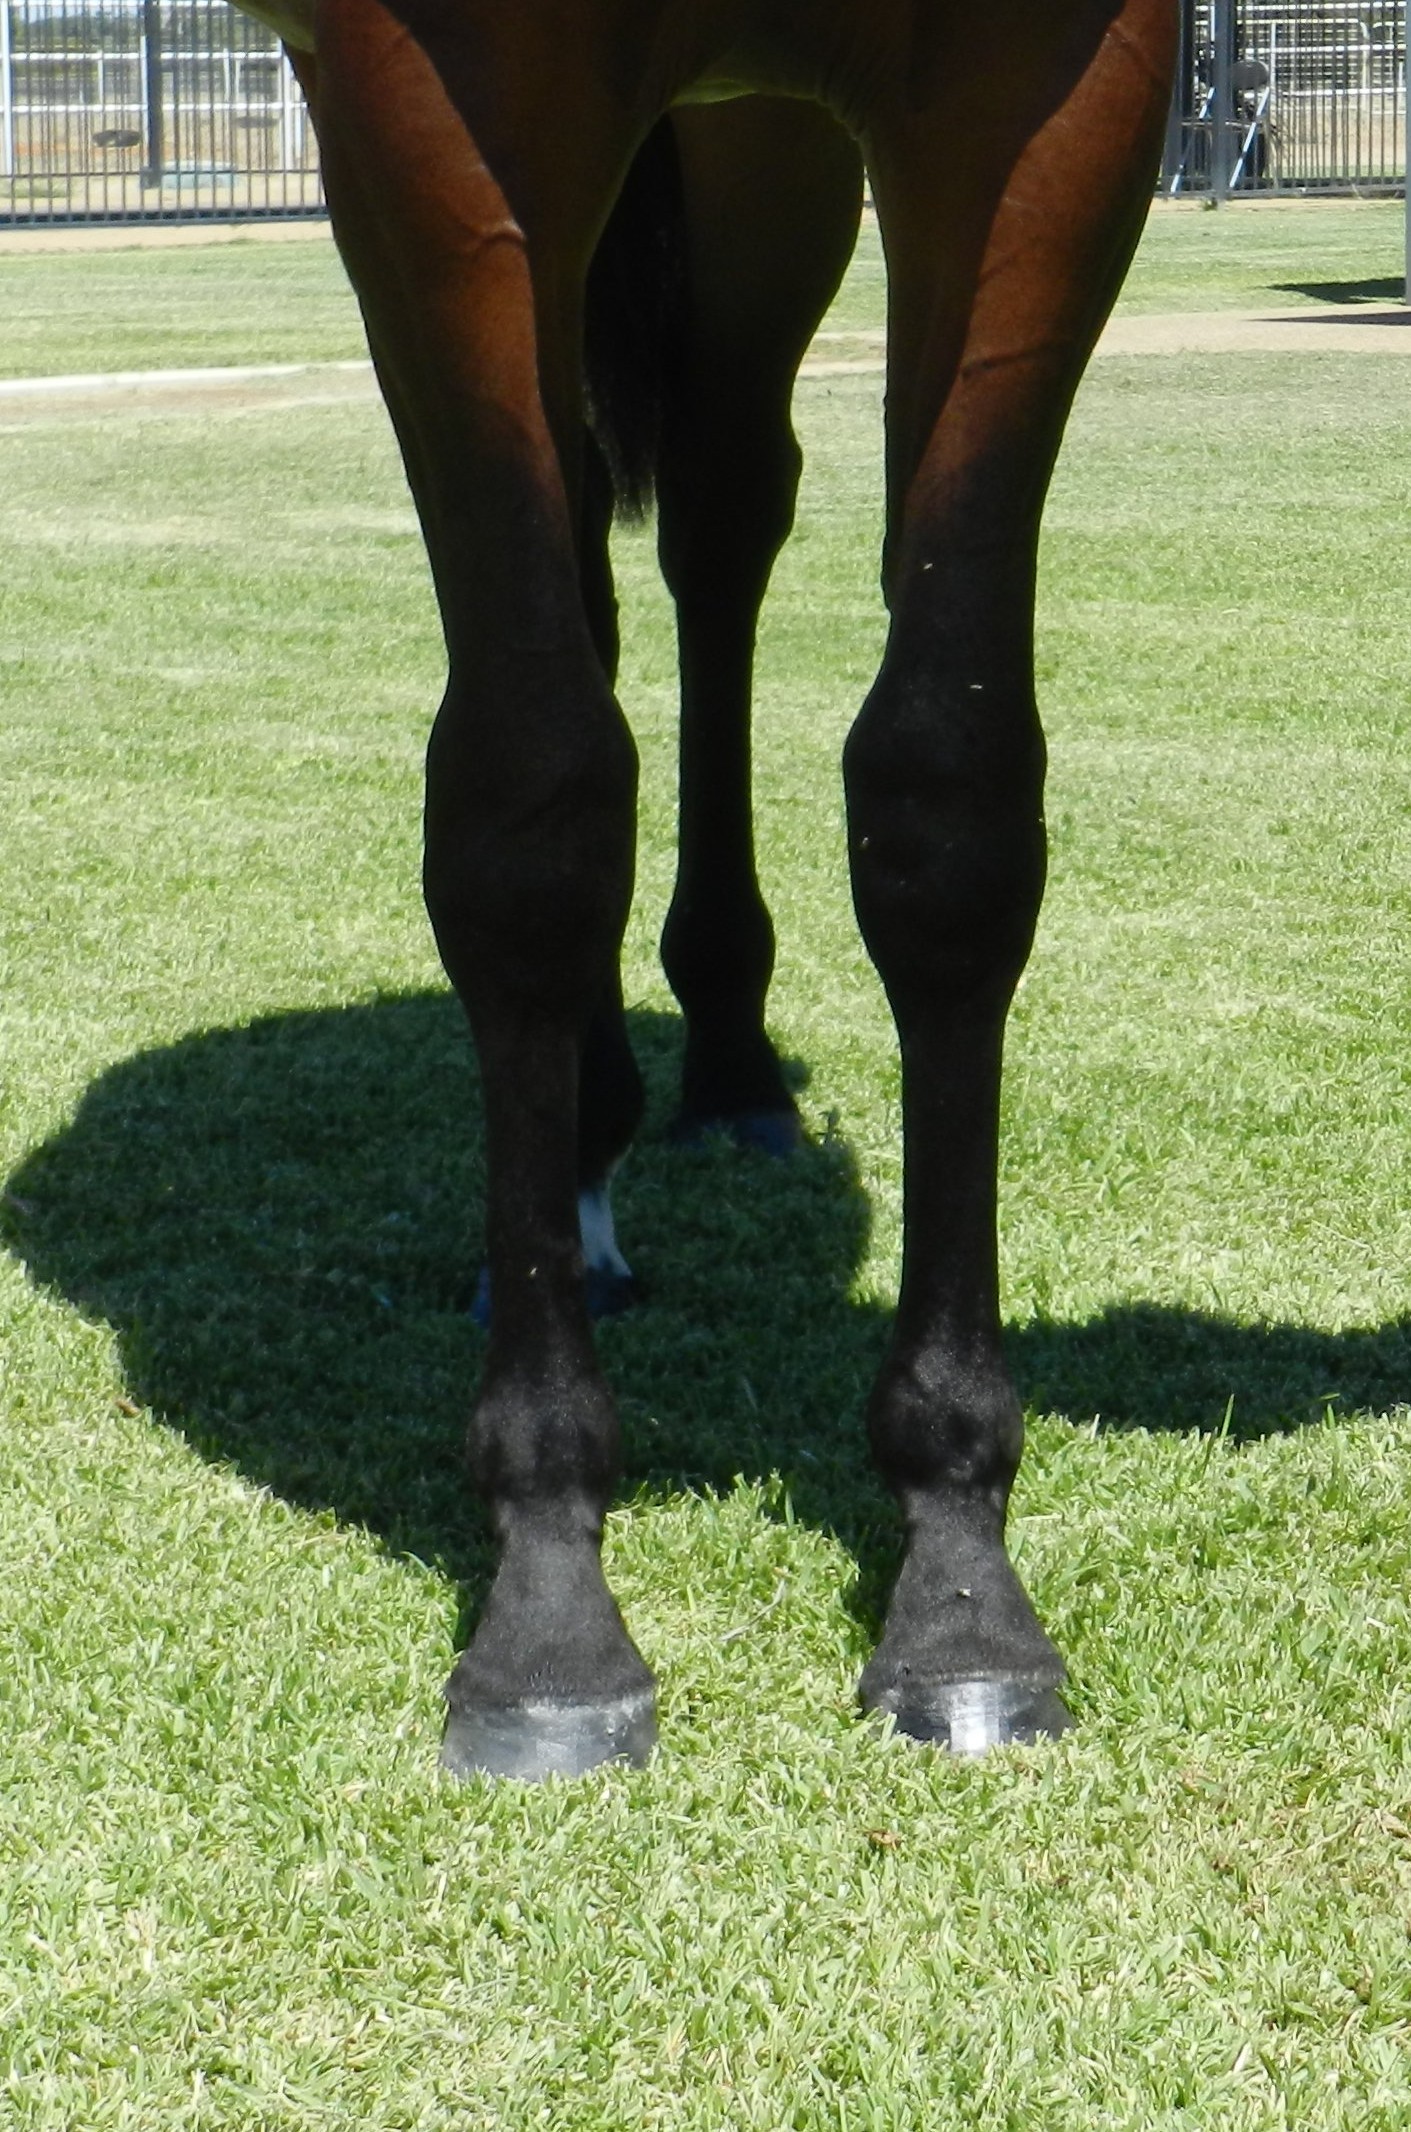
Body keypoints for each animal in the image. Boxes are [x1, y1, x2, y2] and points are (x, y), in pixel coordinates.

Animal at [239, 0, 1175, 1778]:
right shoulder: (435, 121)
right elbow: (530, 814)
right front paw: (546, 1587)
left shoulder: (1037, 109)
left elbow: (944, 800)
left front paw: (956, 1564)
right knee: (584, 595)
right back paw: (584, 1154)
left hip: (760, 155)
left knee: (723, 510)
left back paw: (722, 1067)